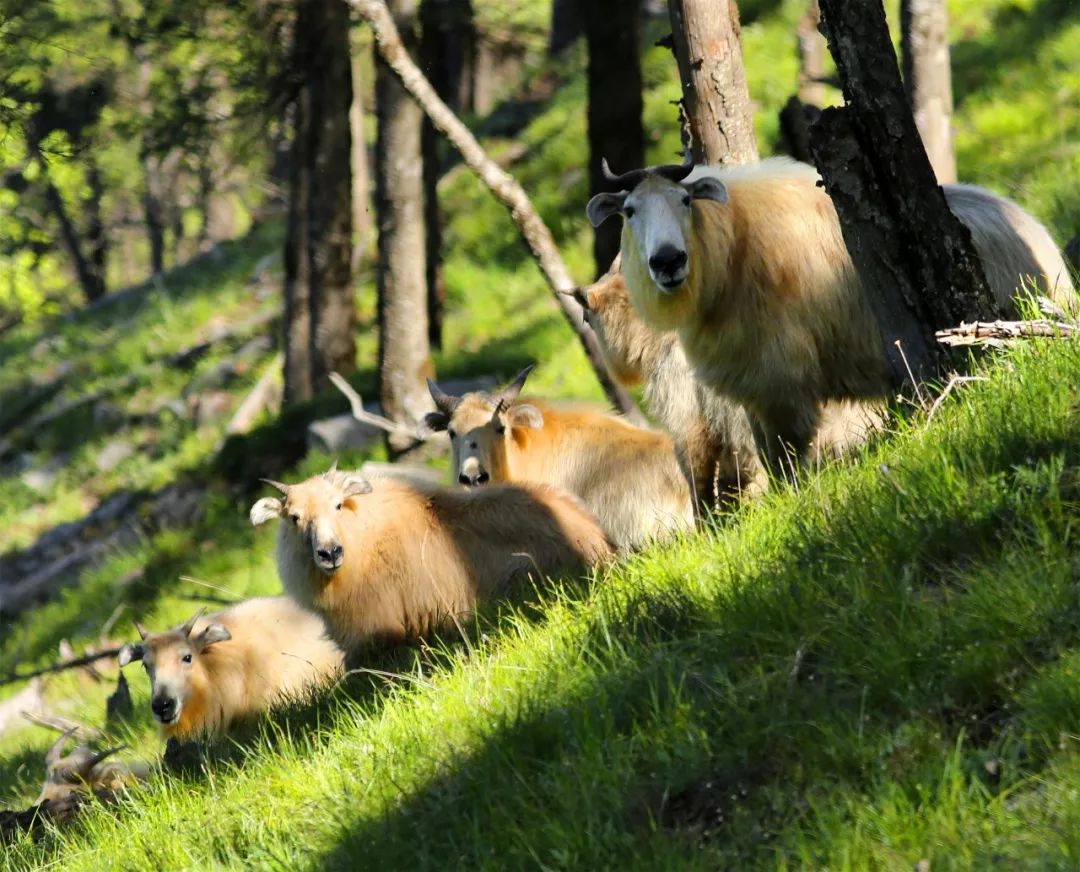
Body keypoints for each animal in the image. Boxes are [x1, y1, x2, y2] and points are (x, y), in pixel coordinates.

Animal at [247, 466, 613, 652]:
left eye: (338, 504)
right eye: (294, 517)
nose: (330, 553)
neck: (363, 537)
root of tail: (598, 541)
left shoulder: (377, 637)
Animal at [587, 155, 1075, 471]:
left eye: (685, 201)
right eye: (629, 210)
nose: (668, 261)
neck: (733, 250)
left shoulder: (781, 385)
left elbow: (786, 465)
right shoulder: (752, 389)